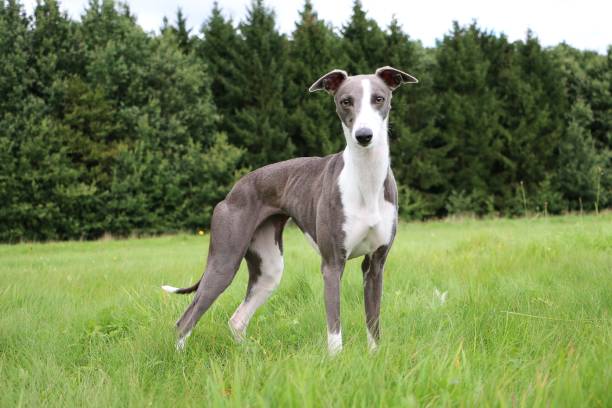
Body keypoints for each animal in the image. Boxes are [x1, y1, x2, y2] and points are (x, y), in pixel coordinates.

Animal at [163, 67, 418, 354]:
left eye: (379, 98)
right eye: (346, 101)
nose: (364, 136)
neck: (365, 180)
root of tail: (233, 192)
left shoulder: (375, 265)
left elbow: (373, 327)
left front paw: (374, 357)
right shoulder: (332, 265)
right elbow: (334, 331)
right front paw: (336, 361)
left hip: (269, 269)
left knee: (237, 319)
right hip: (224, 261)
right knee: (185, 321)